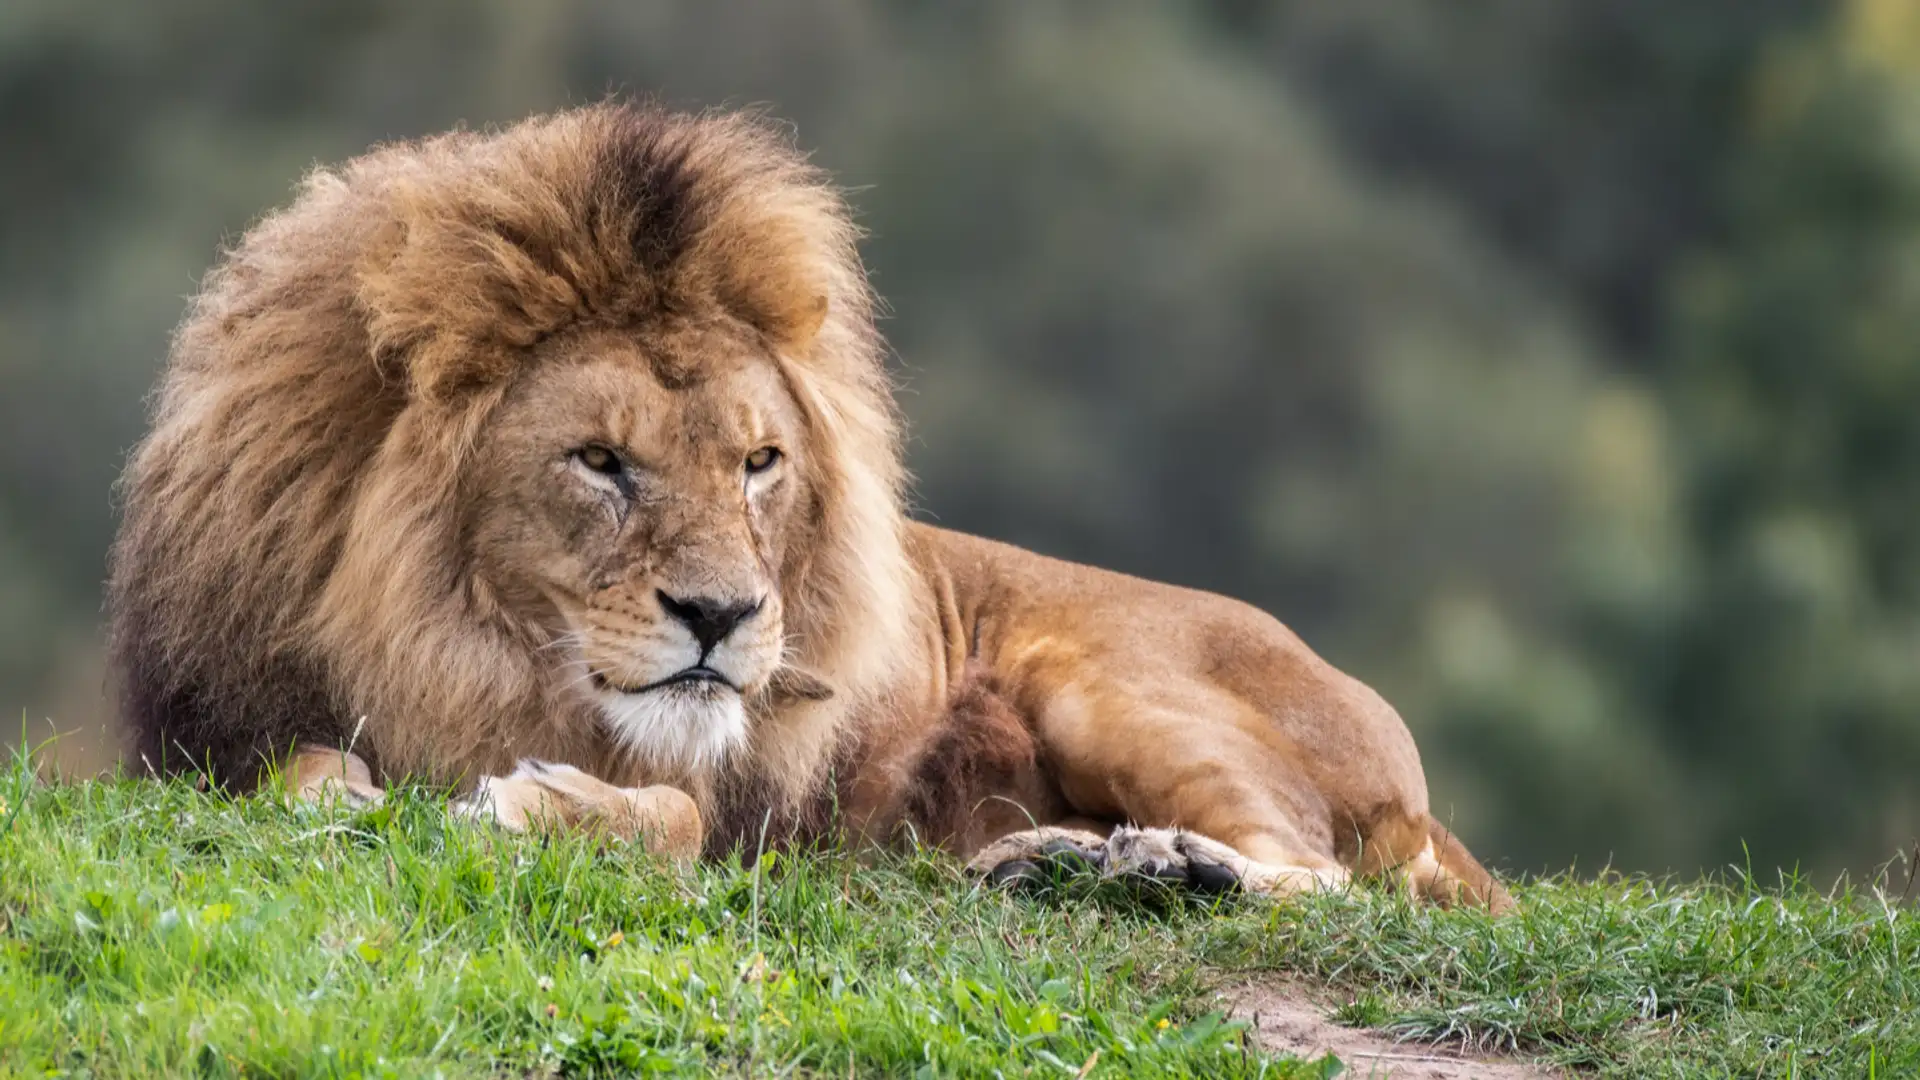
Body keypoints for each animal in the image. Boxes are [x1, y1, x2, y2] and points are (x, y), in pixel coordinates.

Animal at [108, 102, 1511, 912]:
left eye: (758, 464)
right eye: (599, 462)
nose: (722, 617)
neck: (463, 654)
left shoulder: (745, 823)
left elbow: (670, 818)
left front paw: (529, 806)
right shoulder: (209, 740)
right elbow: (301, 769)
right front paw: (344, 800)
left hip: (1107, 682)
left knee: (1333, 880)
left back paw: (1171, 865)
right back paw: (1059, 862)